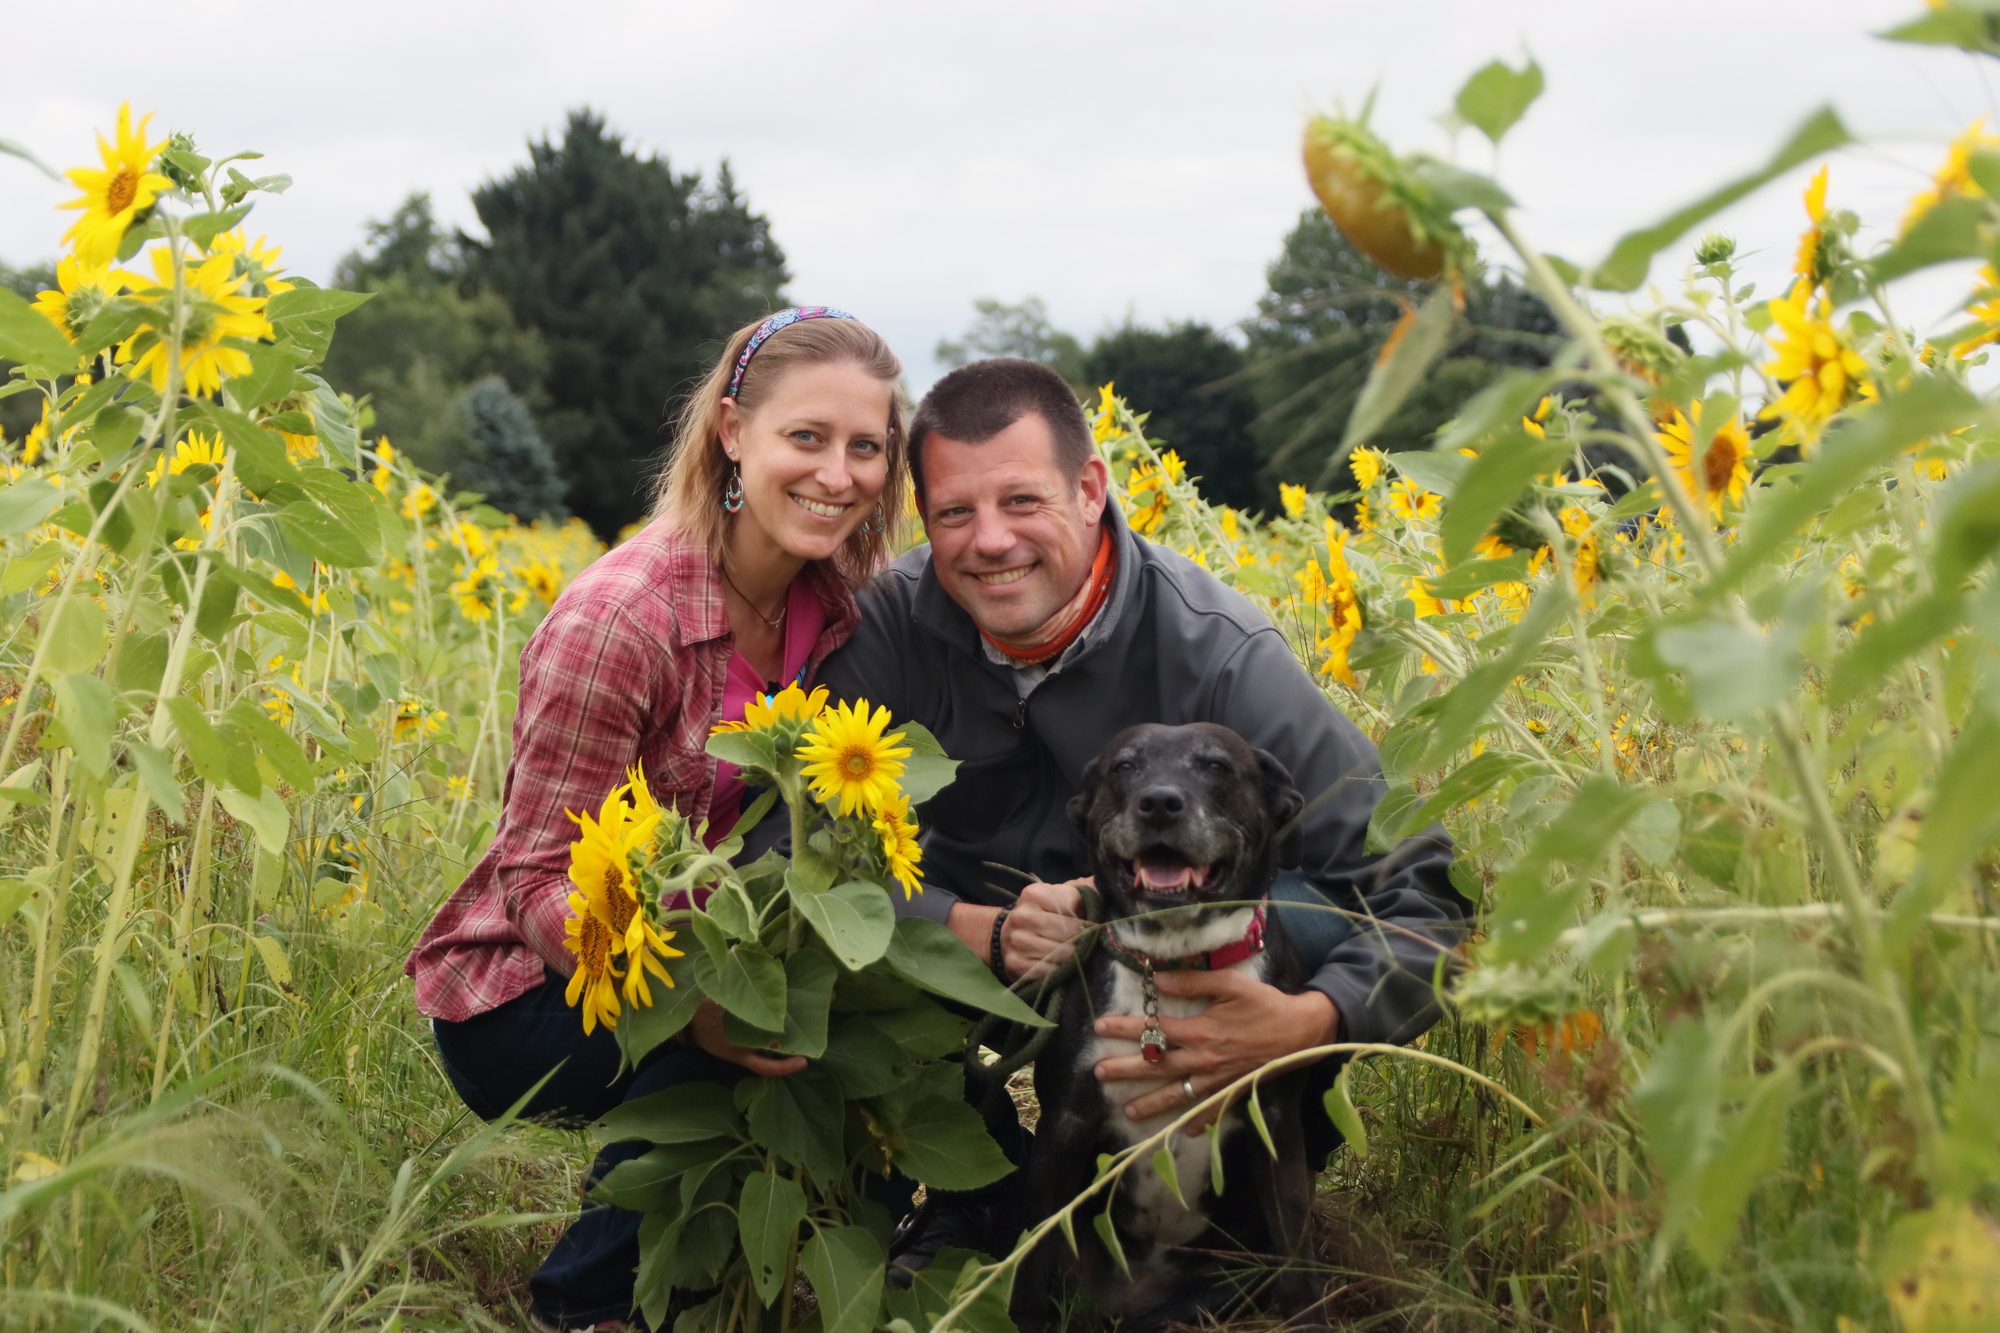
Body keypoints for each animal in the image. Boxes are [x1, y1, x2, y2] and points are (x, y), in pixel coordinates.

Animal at [1016, 720, 1328, 1320]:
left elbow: (1299, 1257)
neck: (1173, 966)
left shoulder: (1275, 1122)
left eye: (1216, 766)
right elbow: (1032, 1259)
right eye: (1123, 767)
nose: (1159, 803)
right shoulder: (1063, 1129)